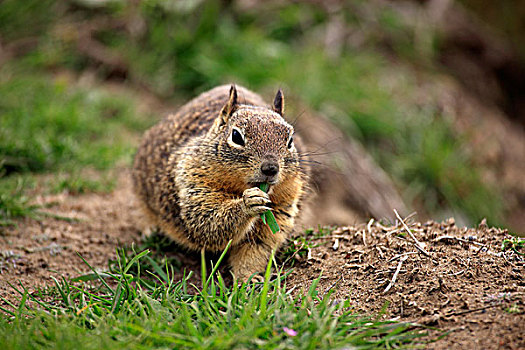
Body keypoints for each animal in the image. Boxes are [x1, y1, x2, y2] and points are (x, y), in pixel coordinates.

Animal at [131, 85, 310, 282]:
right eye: (236, 136)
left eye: (290, 140)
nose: (270, 168)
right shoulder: (194, 184)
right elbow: (208, 221)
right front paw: (248, 203)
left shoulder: (281, 208)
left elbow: (254, 251)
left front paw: (250, 279)